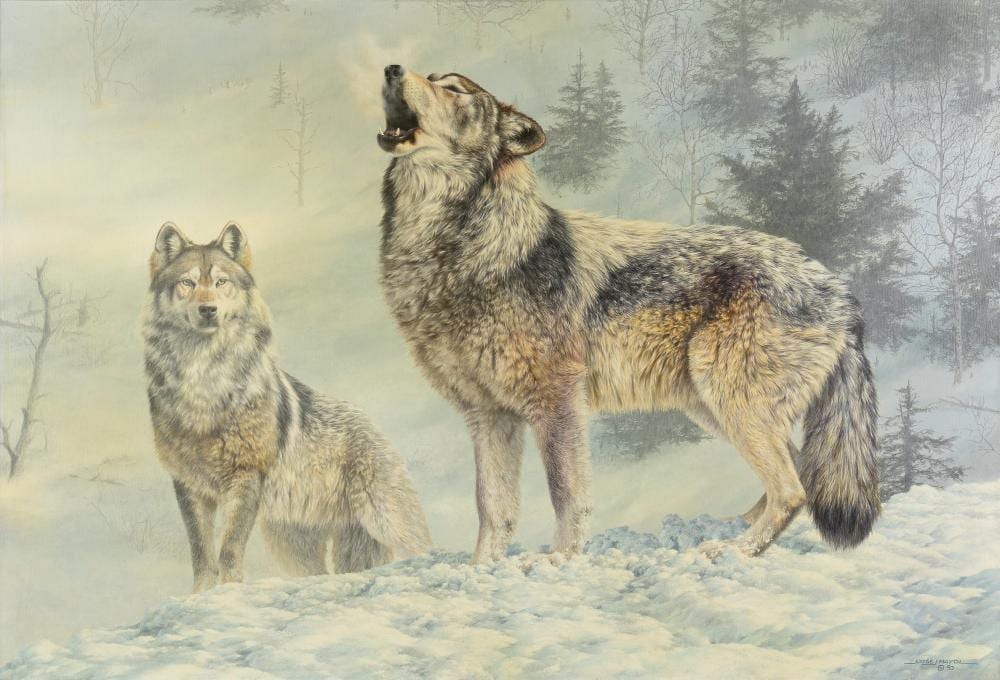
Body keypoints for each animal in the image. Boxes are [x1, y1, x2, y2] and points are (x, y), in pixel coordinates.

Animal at [143, 222, 431, 592]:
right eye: (187, 283)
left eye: (221, 282)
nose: (208, 310)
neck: (205, 382)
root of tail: (372, 425)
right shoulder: (188, 485)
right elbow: (202, 554)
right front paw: (200, 595)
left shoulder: (245, 478)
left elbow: (229, 550)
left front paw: (230, 591)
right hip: (290, 545)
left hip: (384, 521)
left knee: (421, 546)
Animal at [376, 65, 880, 563]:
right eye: (432, 76)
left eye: (452, 89)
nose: (392, 69)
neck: (461, 252)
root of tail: (840, 290)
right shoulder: (487, 415)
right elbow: (492, 508)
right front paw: (484, 569)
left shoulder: (557, 402)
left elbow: (566, 493)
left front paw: (559, 559)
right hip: (712, 407)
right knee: (796, 471)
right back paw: (735, 528)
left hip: (729, 400)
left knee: (792, 489)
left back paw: (732, 548)